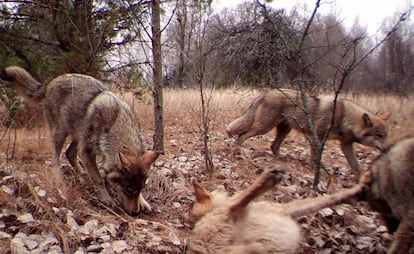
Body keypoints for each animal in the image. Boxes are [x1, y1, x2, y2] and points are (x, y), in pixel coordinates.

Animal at [0, 65, 158, 214]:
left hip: (78, 135)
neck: (117, 125)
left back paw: (83, 176)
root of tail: (50, 83)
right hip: (61, 134)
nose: (135, 212)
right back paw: (60, 178)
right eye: (129, 190)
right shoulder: (87, 151)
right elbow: (99, 179)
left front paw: (143, 202)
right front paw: (106, 198)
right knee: (56, 158)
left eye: (140, 189)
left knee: (69, 153)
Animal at [186, 168, 370, 253]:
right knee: (236, 204)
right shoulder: (284, 209)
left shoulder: (287, 209)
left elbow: (326, 199)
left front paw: (357, 191)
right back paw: (268, 178)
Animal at [225, 89, 390, 179]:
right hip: (264, 128)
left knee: (273, 146)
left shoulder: (346, 144)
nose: (388, 149)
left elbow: (356, 166)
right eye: (379, 135)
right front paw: (315, 169)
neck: (344, 116)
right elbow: (315, 157)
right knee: (242, 136)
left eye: (386, 135)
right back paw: (240, 150)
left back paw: (283, 159)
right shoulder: (315, 137)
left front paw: (360, 181)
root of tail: (266, 93)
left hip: (284, 129)